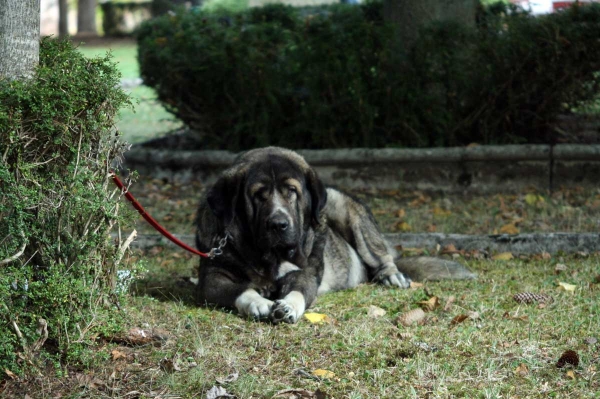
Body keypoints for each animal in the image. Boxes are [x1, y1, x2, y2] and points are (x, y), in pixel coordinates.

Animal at [195, 147, 476, 324]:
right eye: (258, 194)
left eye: (292, 191)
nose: (278, 224)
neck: (266, 257)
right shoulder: (213, 278)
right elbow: (240, 289)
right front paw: (258, 302)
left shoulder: (306, 273)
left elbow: (299, 291)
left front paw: (287, 306)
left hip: (342, 206)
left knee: (380, 255)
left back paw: (391, 275)